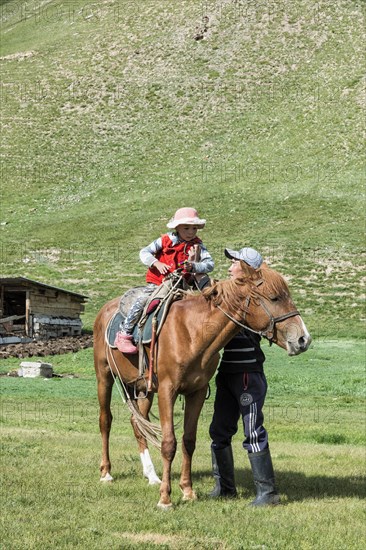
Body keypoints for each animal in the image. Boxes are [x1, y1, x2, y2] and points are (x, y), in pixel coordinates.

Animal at [93, 262, 310, 508]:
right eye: (274, 298)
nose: (303, 339)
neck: (192, 332)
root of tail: (105, 310)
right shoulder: (167, 391)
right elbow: (168, 443)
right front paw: (165, 498)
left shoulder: (196, 392)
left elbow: (189, 440)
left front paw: (187, 491)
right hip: (104, 377)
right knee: (105, 421)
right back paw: (106, 473)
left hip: (142, 388)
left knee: (138, 424)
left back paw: (151, 475)